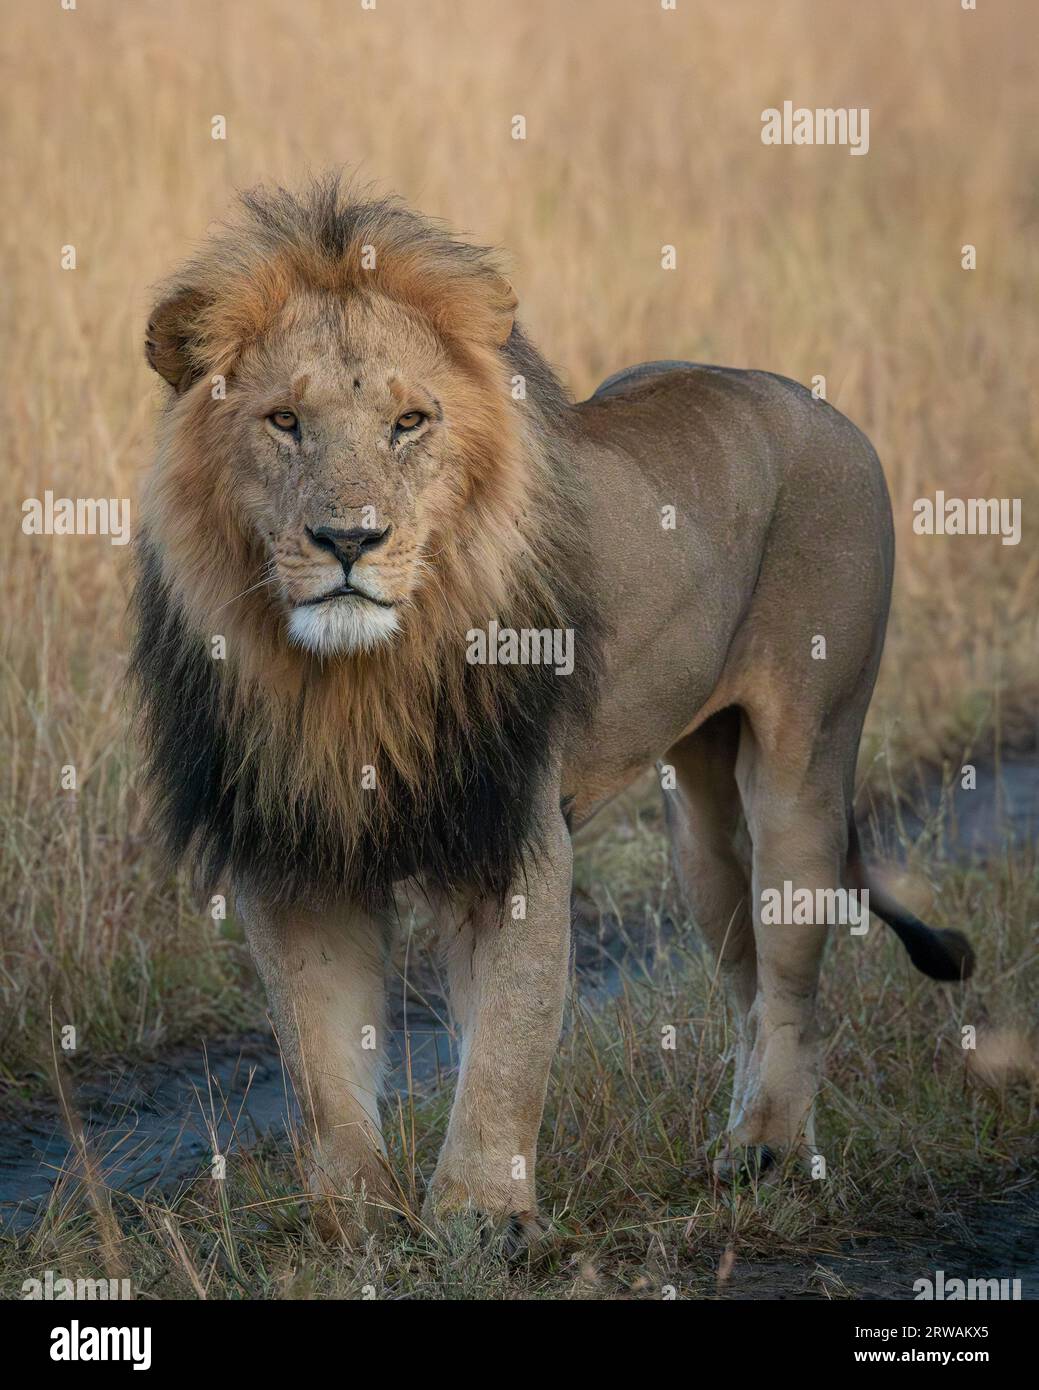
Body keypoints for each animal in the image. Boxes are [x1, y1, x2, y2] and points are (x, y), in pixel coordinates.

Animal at [132, 176, 973, 1248]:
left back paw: (769, 1149)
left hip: (807, 761)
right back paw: (738, 1140)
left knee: (793, 980)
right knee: (743, 973)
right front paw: (355, 1221)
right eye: (283, 421)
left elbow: (508, 1040)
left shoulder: (516, 836)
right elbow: (317, 1060)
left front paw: (482, 1216)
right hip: (698, 830)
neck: (357, 679)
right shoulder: (295, 853)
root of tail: (813, 403)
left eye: (410, 422)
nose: (348, 540)